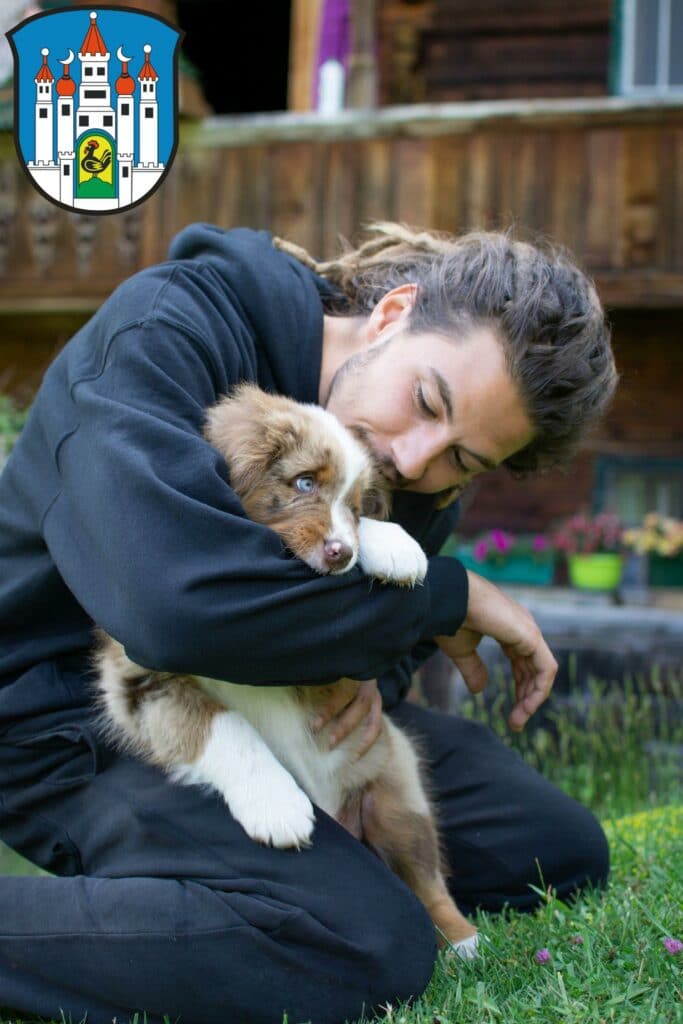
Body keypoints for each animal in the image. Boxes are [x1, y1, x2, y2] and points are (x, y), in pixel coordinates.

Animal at [93, 380, 479, 954]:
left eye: (356, 505)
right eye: (303, 483)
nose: (341, 553)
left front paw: (396, 547)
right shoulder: (139, 680)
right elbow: (222, 726)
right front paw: (276, 807)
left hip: (397, 790)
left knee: (427, 877)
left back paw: (464, 943)